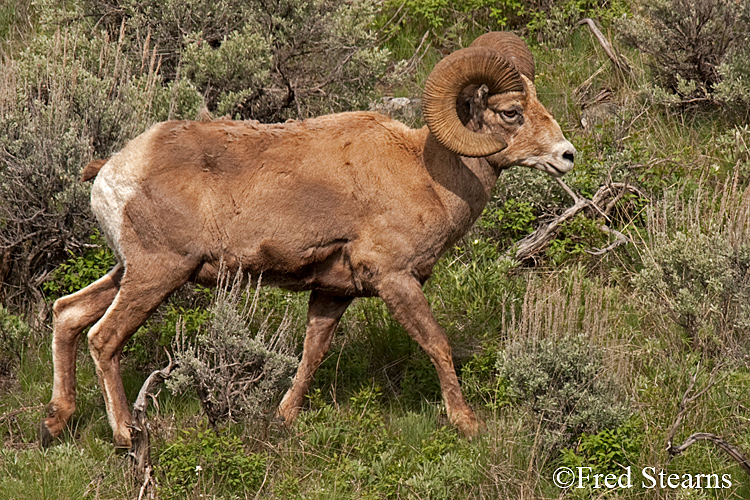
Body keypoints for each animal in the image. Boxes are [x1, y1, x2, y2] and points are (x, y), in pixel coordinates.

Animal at [39, 32, 576, 446]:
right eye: (511, 112)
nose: (567, 155)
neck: (427, 175)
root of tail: (112, 172)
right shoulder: (396, 280)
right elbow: (438, 345)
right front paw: (467, 425)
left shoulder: (333, 293)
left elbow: (311, 355)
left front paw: (283, 418)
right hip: (157, 274)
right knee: (103, 338)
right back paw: (125, 434)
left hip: (129, 272)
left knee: (67, 314)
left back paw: (55, 423)